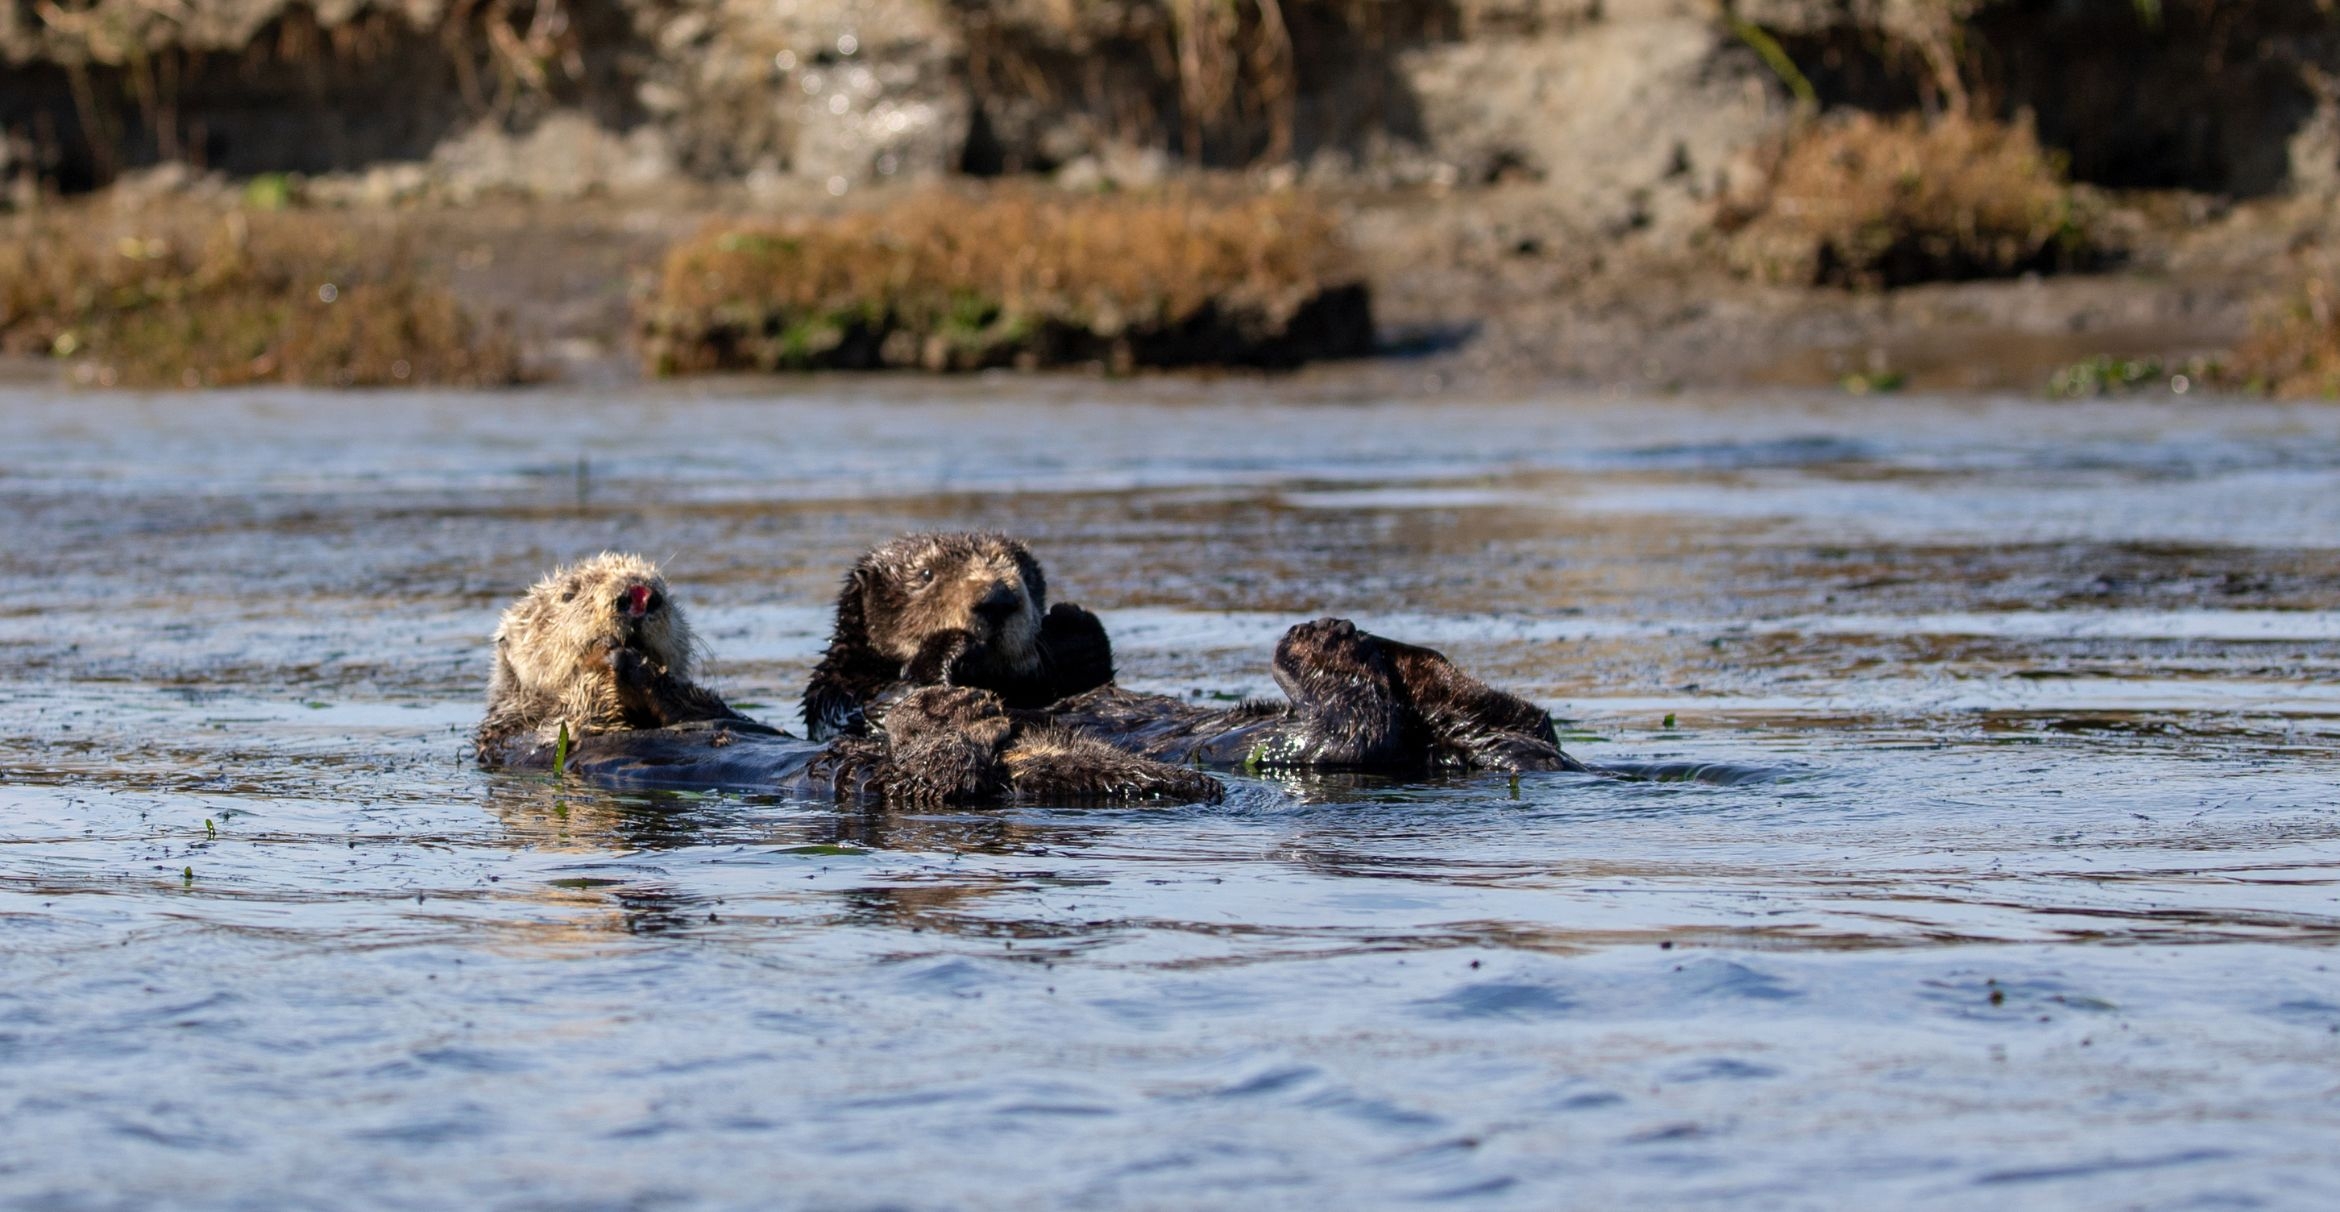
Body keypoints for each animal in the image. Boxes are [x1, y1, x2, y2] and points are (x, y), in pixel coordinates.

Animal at [467, 554, 1216, 809]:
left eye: (667, 593)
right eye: (569, 593)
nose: (639, 596)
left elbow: (706, 704)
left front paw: (638, 668)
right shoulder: (529, 734)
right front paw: (619, 666)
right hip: (885, 776)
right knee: (945, 771)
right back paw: (957, 711)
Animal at [800, 535, 1591, 781]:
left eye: (1024, 574)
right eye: (926, 573)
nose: (997, 599)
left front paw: (1074, 620)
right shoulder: (845, 696)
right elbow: (887, 697)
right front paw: (952, 647)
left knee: (1514, 718)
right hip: (1298, 746)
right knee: (1353, 729)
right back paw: (1322, 641)